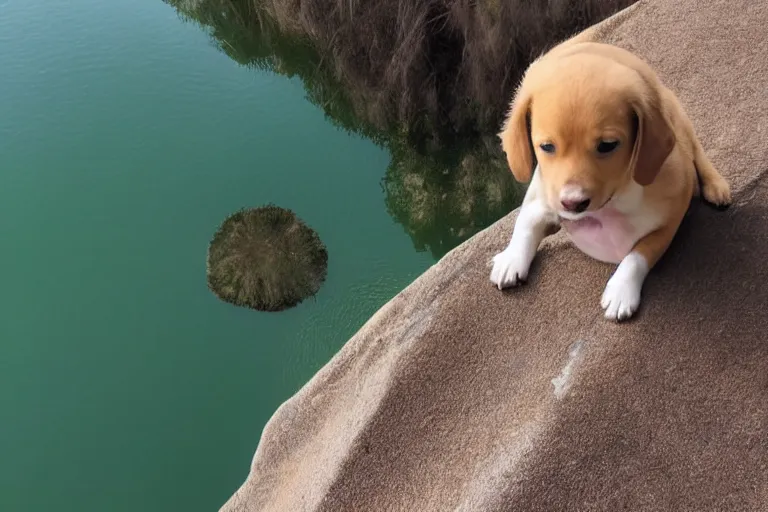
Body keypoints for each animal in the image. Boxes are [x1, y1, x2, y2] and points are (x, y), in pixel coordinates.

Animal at [488, 40, 728, 322]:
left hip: (680, 119)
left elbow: (640, 253)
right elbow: (526, 221)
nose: (573, 203)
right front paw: (512, 258)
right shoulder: (543, 195)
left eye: (607, 145)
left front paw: (622, 289)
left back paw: (716, 186)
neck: (613, 203)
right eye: (546, 147)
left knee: (696, 151)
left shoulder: (670, 220)